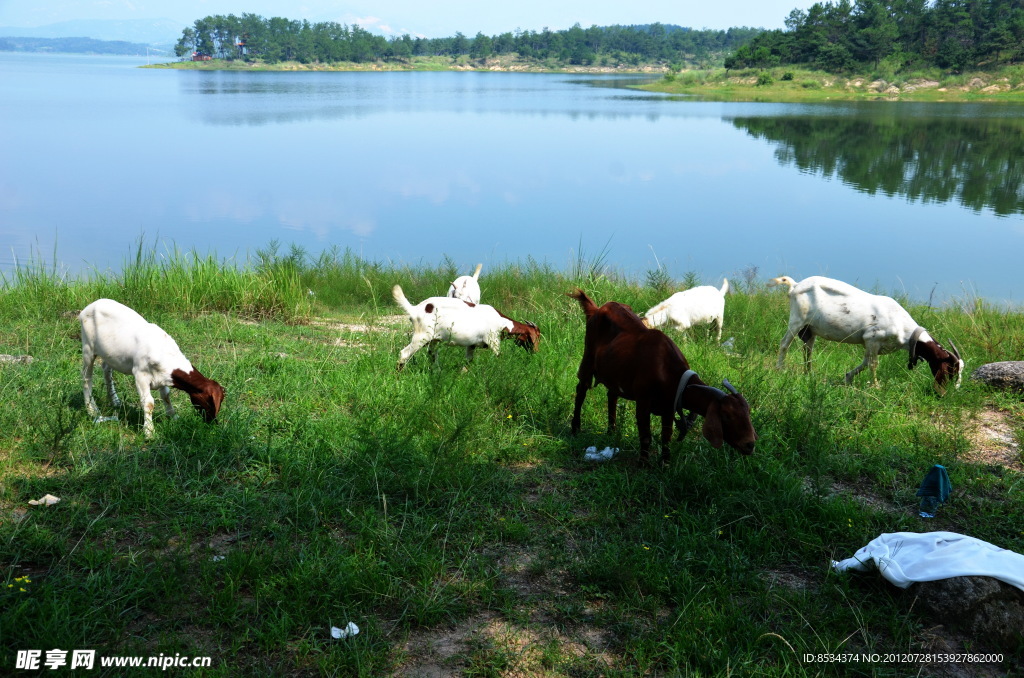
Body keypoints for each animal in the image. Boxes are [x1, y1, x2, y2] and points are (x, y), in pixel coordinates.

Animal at [78, 299, 225, 438]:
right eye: (210, 402)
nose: (213, 422)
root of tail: (91, 305)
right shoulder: (140, 375)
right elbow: (148, 403)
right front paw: (149, 432)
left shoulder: (162, 376)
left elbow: (166, 396)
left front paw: (173, 417)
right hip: (88, 348)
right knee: (86, 377)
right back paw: (92, 410)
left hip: (109, 354)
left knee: (106, 370)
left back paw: (115, 401)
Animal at [391, 286, 540, 372]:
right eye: (537, 336)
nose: (536, 352)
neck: (502, 321)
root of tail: (415, 309)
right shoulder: (494, 341)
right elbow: (499, 357)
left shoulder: (471, 345)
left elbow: (467, 362)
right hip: (422, 336)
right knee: (404, 354)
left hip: (433, 340)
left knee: (432, 355)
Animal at [569, 288, 753, 464]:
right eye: (726, 416)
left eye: (748, 412)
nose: (750, 444)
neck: (669, 371)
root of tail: (597, 309)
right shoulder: (643, 402)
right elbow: (646, 436)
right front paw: (643, 463)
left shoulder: (669, 407)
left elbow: (666, 437)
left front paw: (665, 463)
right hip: (588, 357)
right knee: (581, 390)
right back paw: (575, 428)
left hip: (614, 373)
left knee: (611, 395)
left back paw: (611, 431)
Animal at [774, 276, 966, 393]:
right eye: (950, 369)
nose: (951, 390)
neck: (902, 326)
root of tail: (795, 285)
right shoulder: (872, 338)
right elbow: (873, 364)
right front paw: (876, 386)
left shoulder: (872, 345)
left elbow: (866, 362)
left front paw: (848, 378)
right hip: (797, 320)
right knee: (784, 344)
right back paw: (780, 370)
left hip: (810, 329)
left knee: (807, 349)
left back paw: (809, 373)